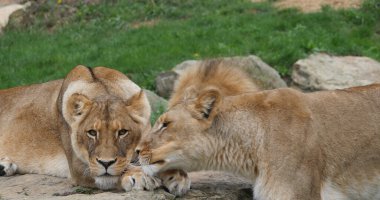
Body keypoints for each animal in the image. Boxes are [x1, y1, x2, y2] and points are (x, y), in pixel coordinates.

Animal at [0, 65, 189, 194]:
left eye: (122, 132)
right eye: (91, 132)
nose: (105, 163)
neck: (102, 88)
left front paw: (176, 176)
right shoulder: (80, 168)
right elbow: (115, 172)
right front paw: (141, 176)